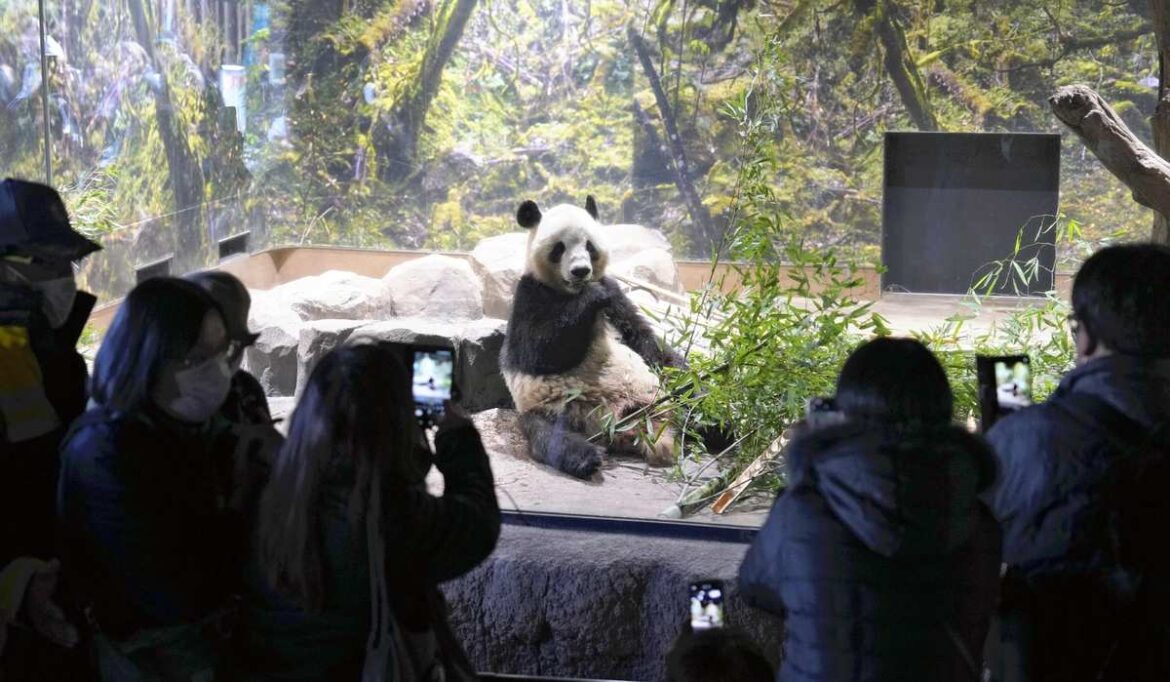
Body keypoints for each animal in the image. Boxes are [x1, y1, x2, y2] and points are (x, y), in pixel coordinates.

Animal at [500, 195, 686, 480]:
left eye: (589, 246)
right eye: (559, 248)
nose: (580, 271)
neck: (571, 292)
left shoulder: (617, 299)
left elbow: (644, 338)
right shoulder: (530, 295)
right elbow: (538, 353)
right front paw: (593, 295)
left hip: (652, 397)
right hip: (554, 410)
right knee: (552, 438)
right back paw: (588, 458)